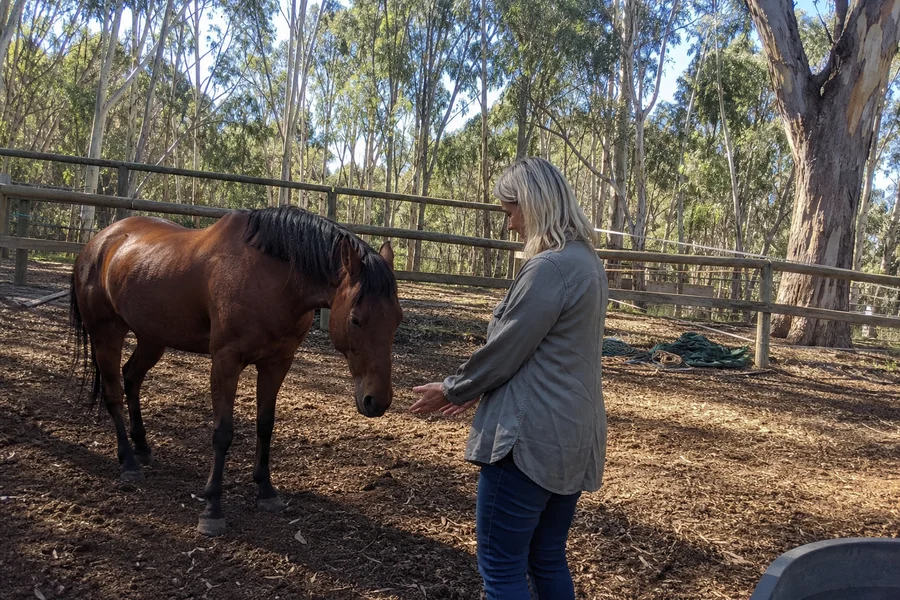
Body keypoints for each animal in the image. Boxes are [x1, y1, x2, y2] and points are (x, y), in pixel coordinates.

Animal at [69, 205, 403, 536]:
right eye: (356, 319)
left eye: (397, 318)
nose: (377, 400)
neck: (272, 280)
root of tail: (99, 242)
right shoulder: (225, 362)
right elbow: (223, 433)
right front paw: (212, 508)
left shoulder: (276, 363)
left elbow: (265, 425)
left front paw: (266, 491)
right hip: (107, 336)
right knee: (114, 394)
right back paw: (128, 462)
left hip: (152, 338)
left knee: (131, 378)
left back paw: (141, 446)